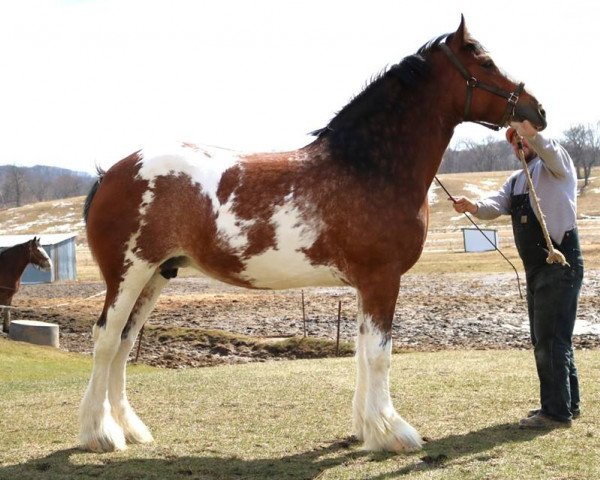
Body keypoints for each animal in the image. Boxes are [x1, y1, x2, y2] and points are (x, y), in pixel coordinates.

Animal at [79, 17, 548, 454]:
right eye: (484, 62)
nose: (537, 110)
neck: (369, 167)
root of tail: (111, 174)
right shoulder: (382, 278)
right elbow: (379, 354)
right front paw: (393, 433)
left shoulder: (366, 284)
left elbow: (361, 350)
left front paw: (366, 430)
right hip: (128, 274)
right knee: (106, 340)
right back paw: (99, 433)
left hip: (156, 275)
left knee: (125, 343)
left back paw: (130, 429)